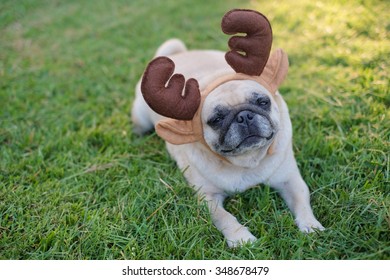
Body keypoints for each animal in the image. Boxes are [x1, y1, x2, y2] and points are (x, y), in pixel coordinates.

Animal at [131, 8, 322, 246]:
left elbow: (302, 200)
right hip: (141, 115)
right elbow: (225, 217)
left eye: (263, 102)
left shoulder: (290, 179)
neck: (248, 162)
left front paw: (310, 226)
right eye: (216, 119)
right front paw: (242, 239)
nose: (244, 116)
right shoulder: (208, 197)